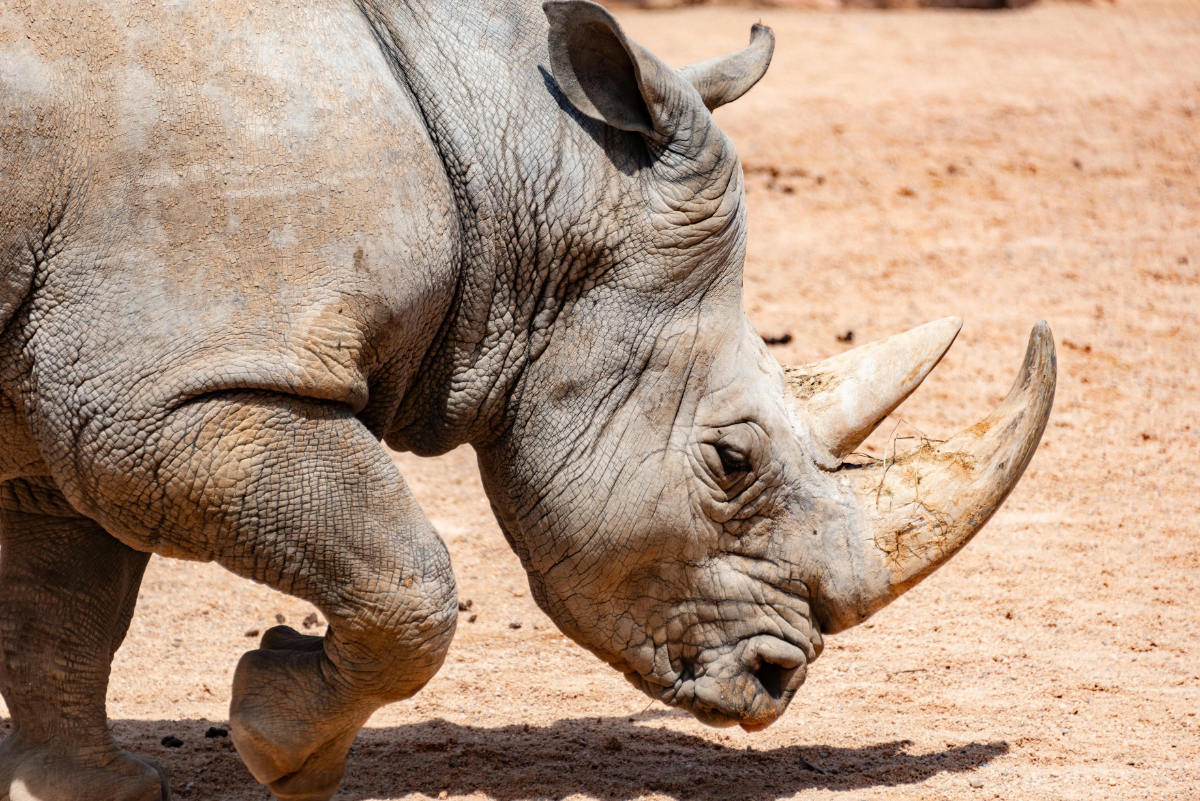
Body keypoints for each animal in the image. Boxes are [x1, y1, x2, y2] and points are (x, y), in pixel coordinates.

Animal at [0, 0, 1055, 798]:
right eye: (732, 461)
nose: (776, 681)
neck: (509, 166)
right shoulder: (174, 392)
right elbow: (408, 581)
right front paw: (278, 744)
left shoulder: (89, 401)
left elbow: (64, 607)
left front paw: (81, 789)